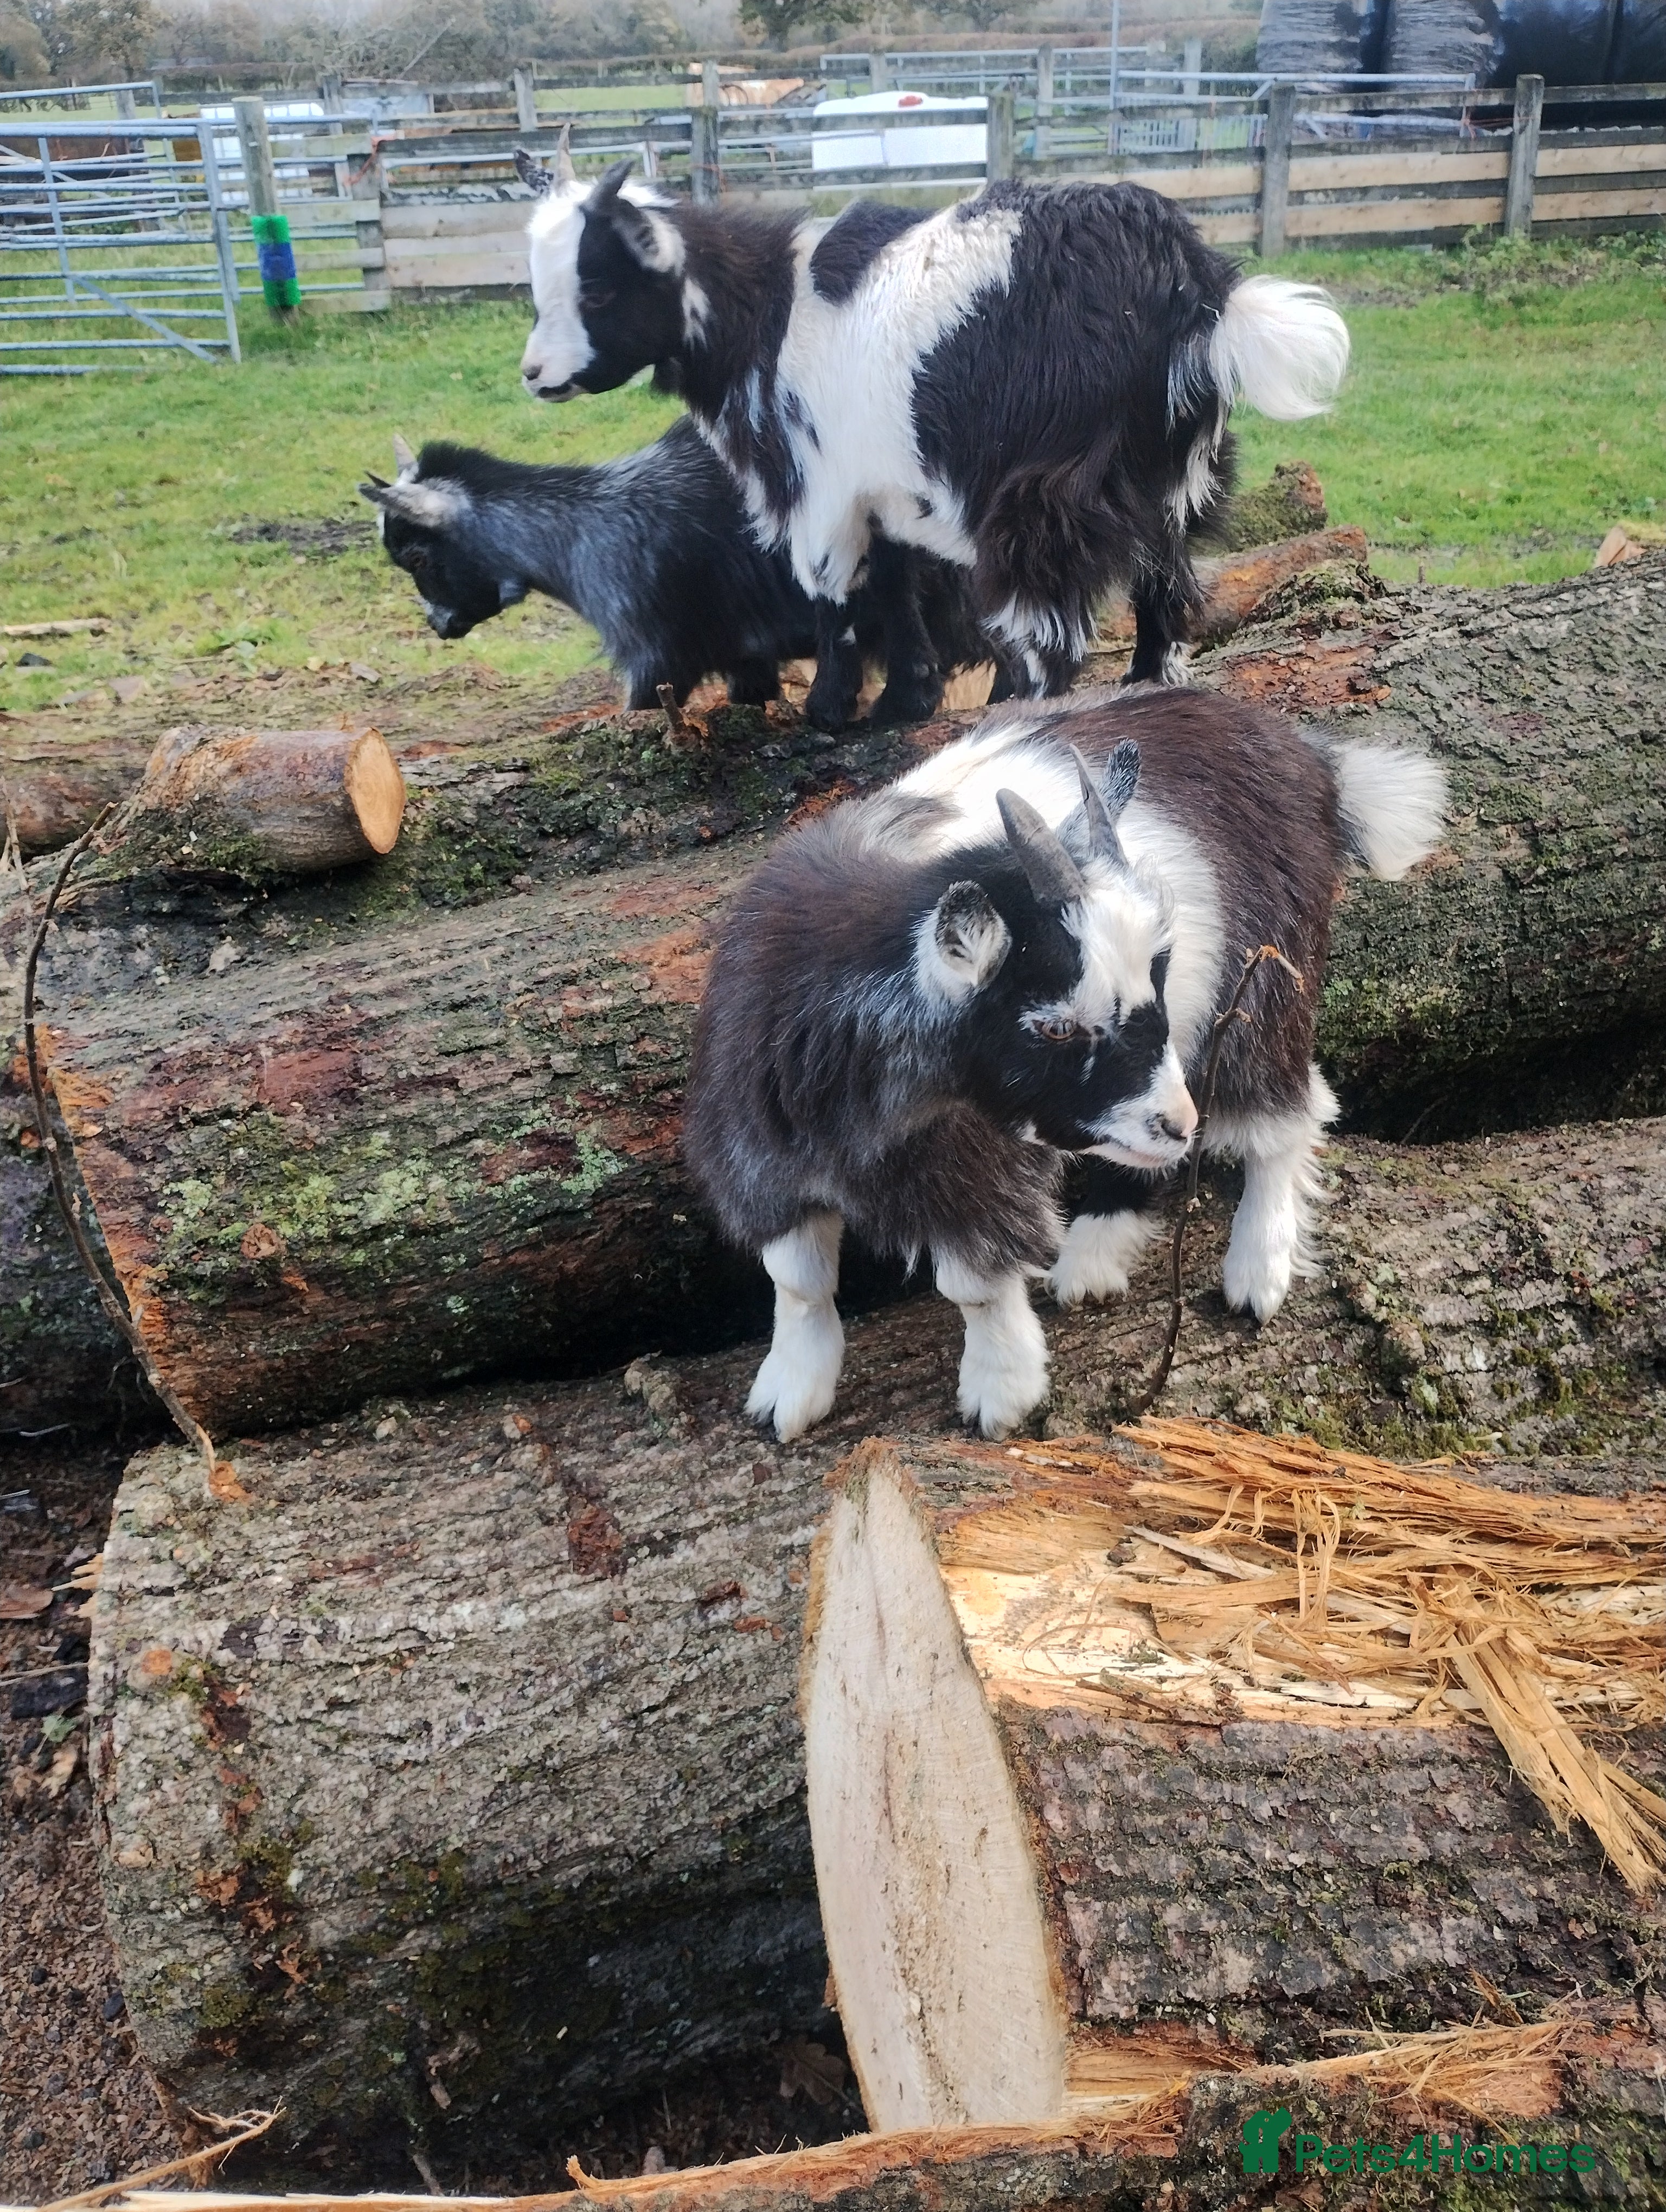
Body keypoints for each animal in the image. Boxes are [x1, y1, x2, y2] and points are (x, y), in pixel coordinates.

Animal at [516, 155, 1349, 701]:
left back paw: (1024, 715)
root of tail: (1194, 284)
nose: (534, 375)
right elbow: (893, 580)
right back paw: (1149, 686)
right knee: (1164, 582)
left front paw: (832, 709)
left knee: (1052, 621)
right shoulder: (879, 481)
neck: (765, 313)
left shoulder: (817, 483)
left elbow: (833, 594)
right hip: (1174, 468)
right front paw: (907, 696)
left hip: (1039, 485)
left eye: (596, 286)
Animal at [683, 688, 1445, 1442]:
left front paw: (1001, 1392)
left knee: (1288, 1113)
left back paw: (1259, 1268)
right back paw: (1098, 1252)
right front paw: (788, 1393)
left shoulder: (976, 1167)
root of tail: (1311, 757)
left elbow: (974, 1286)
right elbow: (796, 1278)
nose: (1181, 1124)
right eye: (1054, 1025)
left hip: (1265, 985)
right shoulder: (759, 1154)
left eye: (1157, 971)